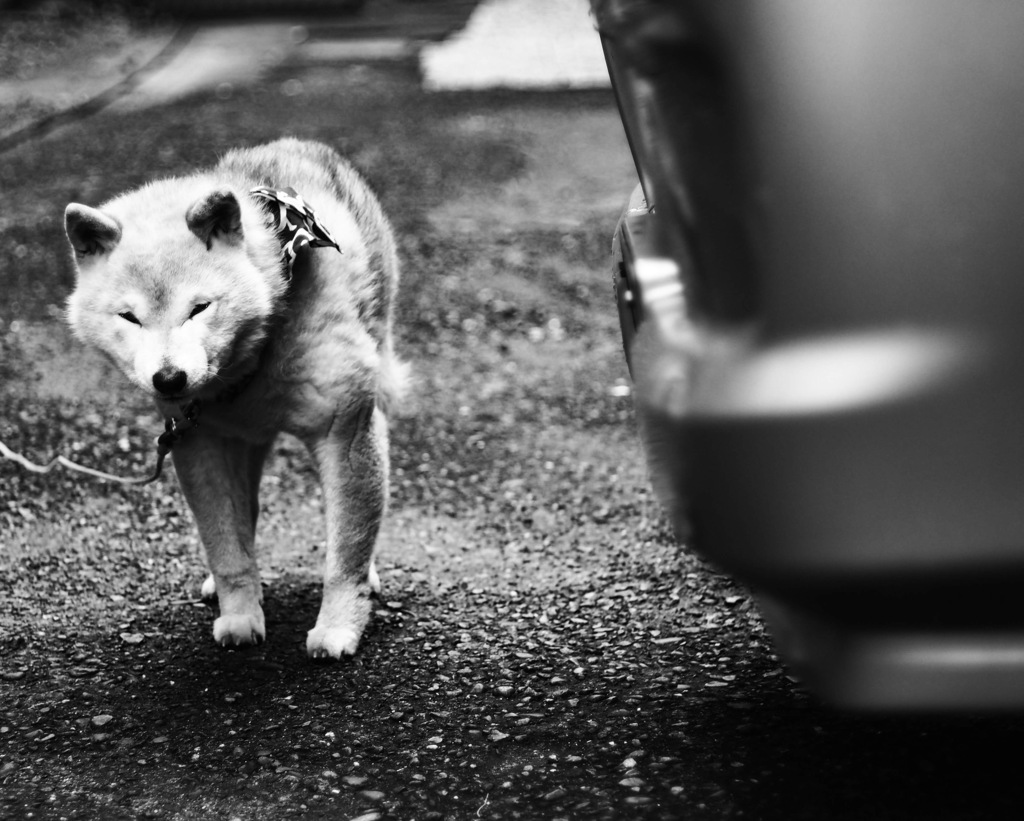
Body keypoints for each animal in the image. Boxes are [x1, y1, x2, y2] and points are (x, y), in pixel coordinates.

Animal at [62, 136, 407, 659]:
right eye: (129, 317)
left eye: (199, 308)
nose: (169, 378)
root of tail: (297, 143)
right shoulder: (199, 441)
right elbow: (228, 547)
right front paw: (241, 614)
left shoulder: (344, 430)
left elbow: (345, 552)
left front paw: (340, 625)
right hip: (243, 439)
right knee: (246, 513)